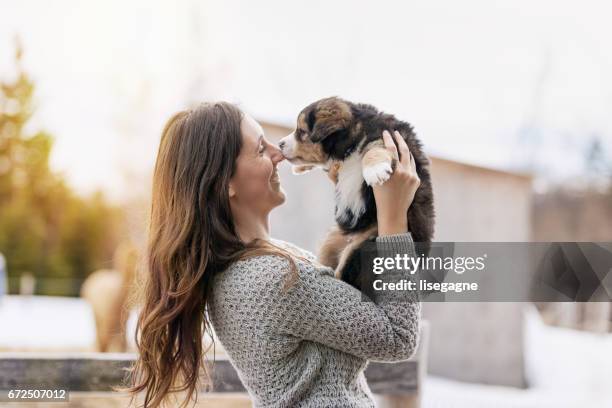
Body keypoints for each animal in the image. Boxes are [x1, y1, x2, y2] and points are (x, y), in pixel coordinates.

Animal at [278, 97, 436, 292]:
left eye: (302, 131)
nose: (279, 144)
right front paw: (300, 168)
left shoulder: (390, 139)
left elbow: (374, 148)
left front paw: (375, 170)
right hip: (332, 239)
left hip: (366, 244)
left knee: (347, 279)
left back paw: (321, 269)